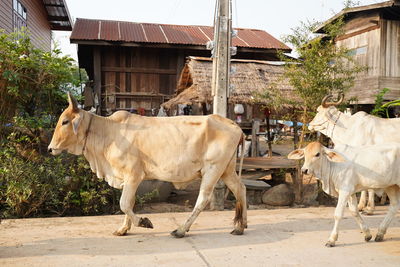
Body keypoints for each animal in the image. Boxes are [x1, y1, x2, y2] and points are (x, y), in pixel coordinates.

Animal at [47, 94, 247, 239]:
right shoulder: (129, 178)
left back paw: (181, 230)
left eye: (65, 121)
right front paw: (123, 229)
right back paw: (241, 226)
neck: (108, 132)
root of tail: (235, 126)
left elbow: (124, 203)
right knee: (240, 188)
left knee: (203, 198)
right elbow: (129, 202)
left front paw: (143, 222)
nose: (50, 148)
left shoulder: (133, 175)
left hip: (213, 169)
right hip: (227, 169)